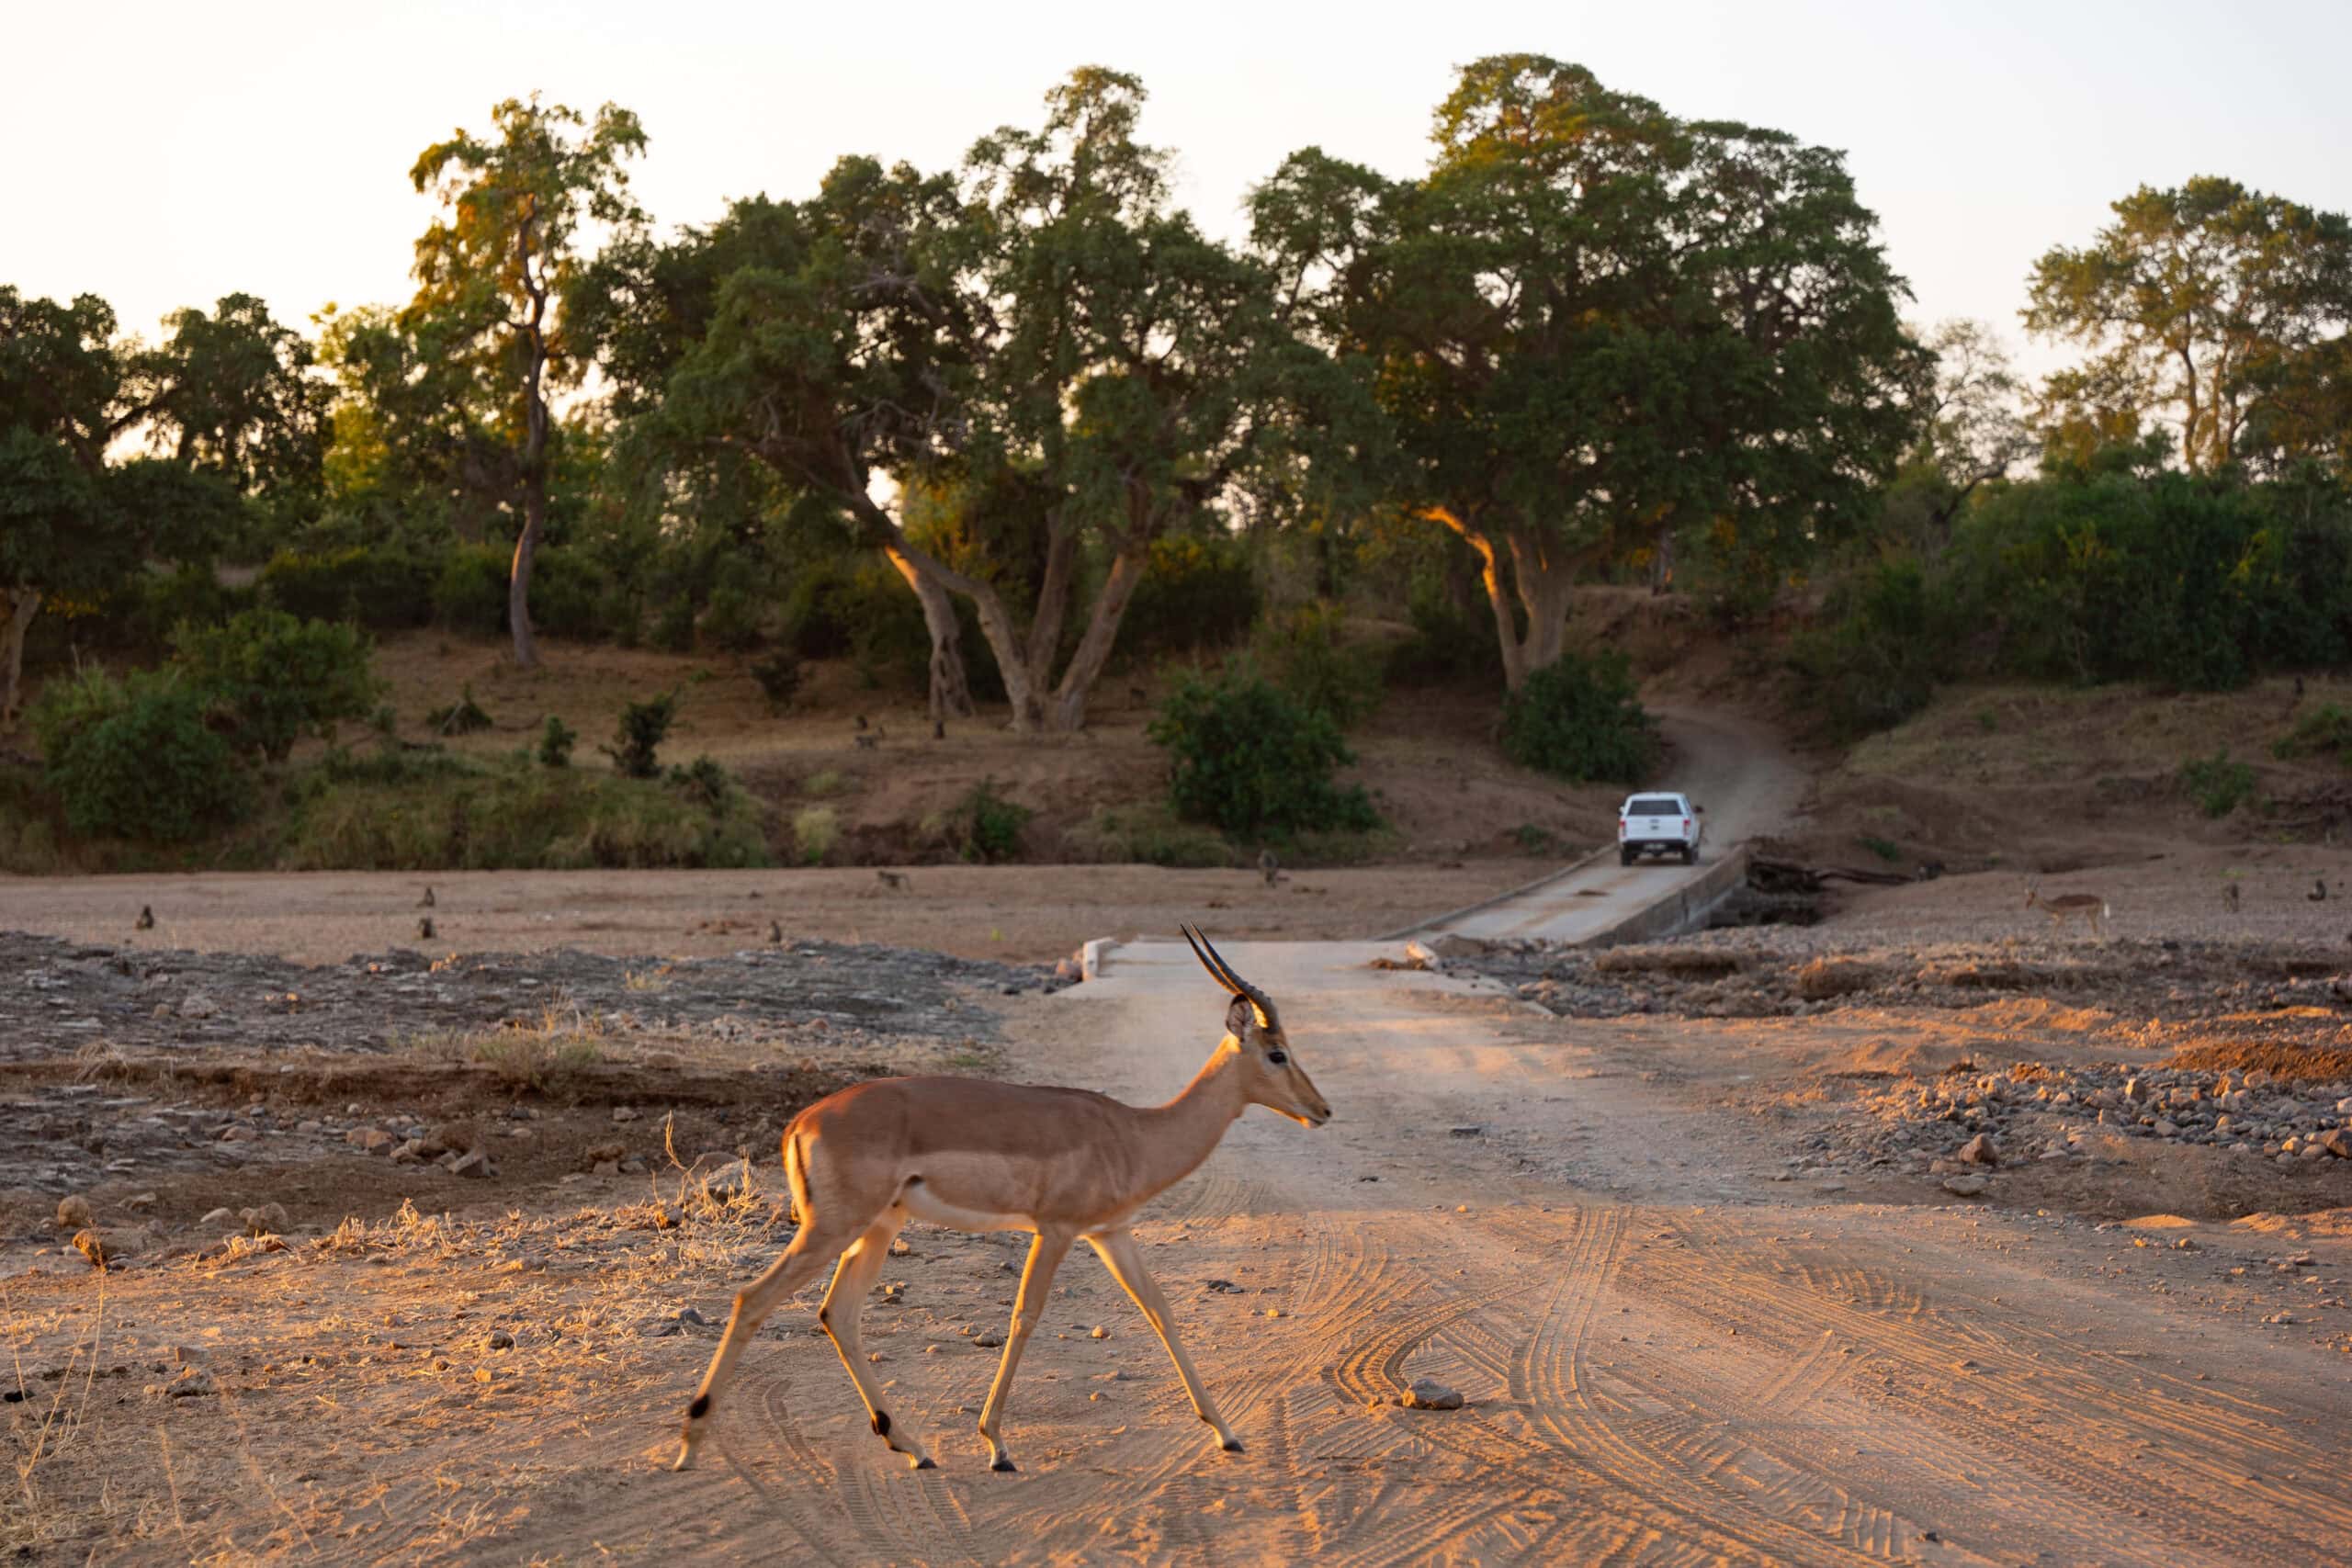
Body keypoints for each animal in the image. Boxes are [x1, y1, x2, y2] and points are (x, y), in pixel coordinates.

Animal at [673, 924, 1331, 1476]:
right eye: (1277, 1053)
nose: (1321, 1109)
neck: (1135, 1134)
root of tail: (799, 1122)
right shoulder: (1057, 1230)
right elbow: (1025, 1316)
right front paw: (997, 1446)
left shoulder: (1111, 1233)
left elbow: (1160, 1311)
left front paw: (1228, 1433)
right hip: (832, 1229)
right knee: (752, 1299)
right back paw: (689, 1447)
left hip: (877, 1229)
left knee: (838, 1313)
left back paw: (913, 1447)